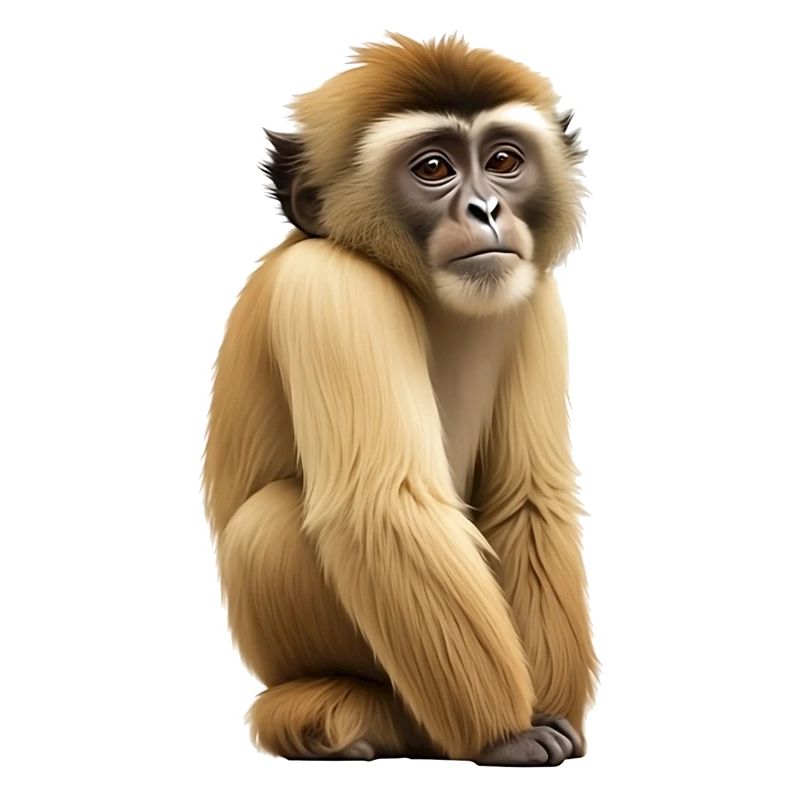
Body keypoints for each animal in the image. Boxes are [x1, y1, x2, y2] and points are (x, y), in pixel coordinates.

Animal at [202, 32, 598, 766]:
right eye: (434, 168)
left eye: (503, 161)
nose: (486, 210)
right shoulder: (328, 287)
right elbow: (384, 507)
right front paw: (506, 731)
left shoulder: (534, 297)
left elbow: (528, 498)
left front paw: (553, 711)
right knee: (274, 519)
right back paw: (341, 714)